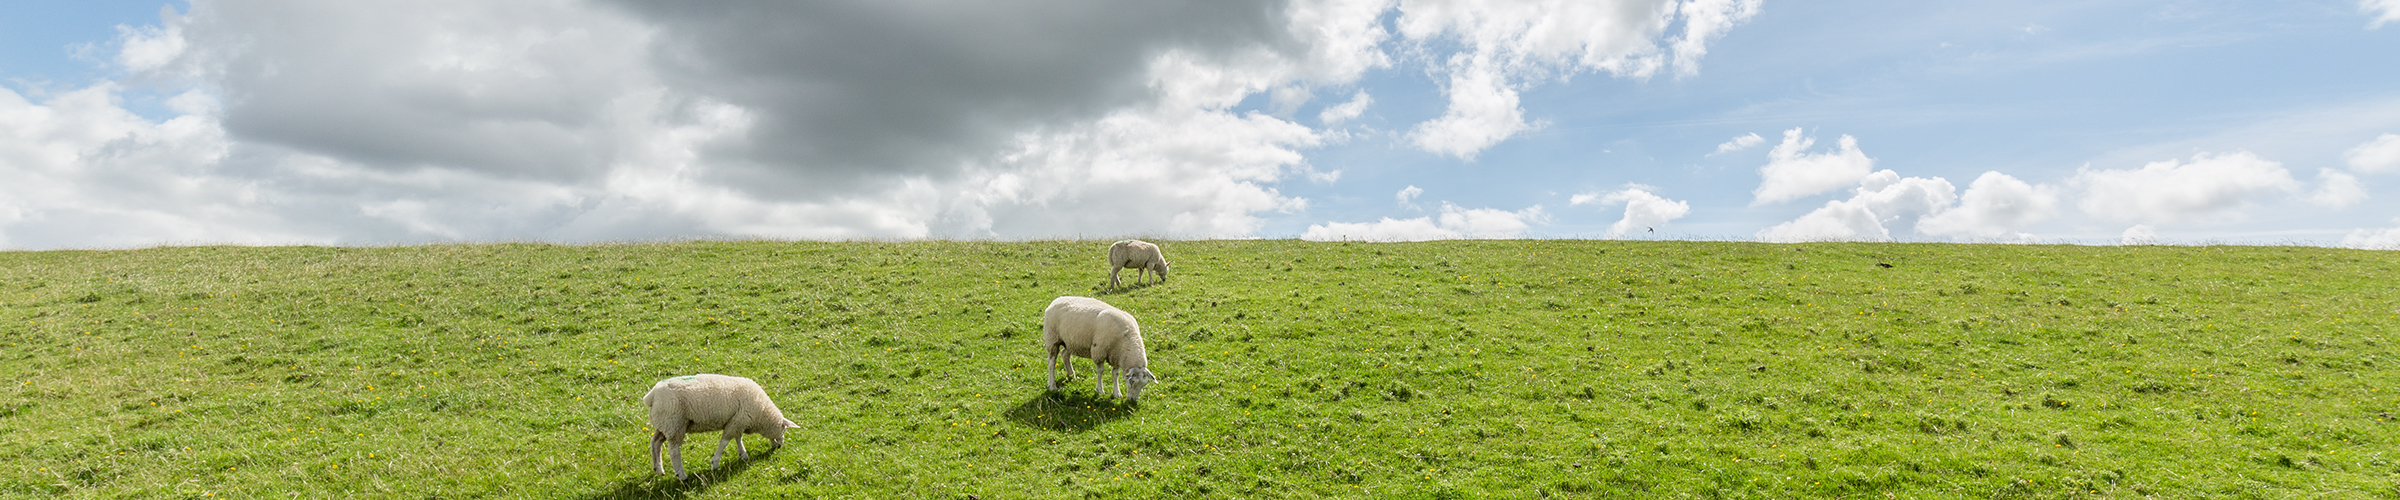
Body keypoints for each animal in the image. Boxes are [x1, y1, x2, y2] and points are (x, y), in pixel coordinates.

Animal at [643, 372, 801, 478]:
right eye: (784, 430)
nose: (780, 446)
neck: (762, 413)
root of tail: (651, 396)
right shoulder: (738, 420)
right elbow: (725, 442)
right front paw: (715, 463)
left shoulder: (737, 420)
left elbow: (738, 438)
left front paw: (743, 454)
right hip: (674, 423)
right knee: (674, 450)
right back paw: (681, 474)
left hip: (665, 424)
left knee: (655, 442)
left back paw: (658, 468)